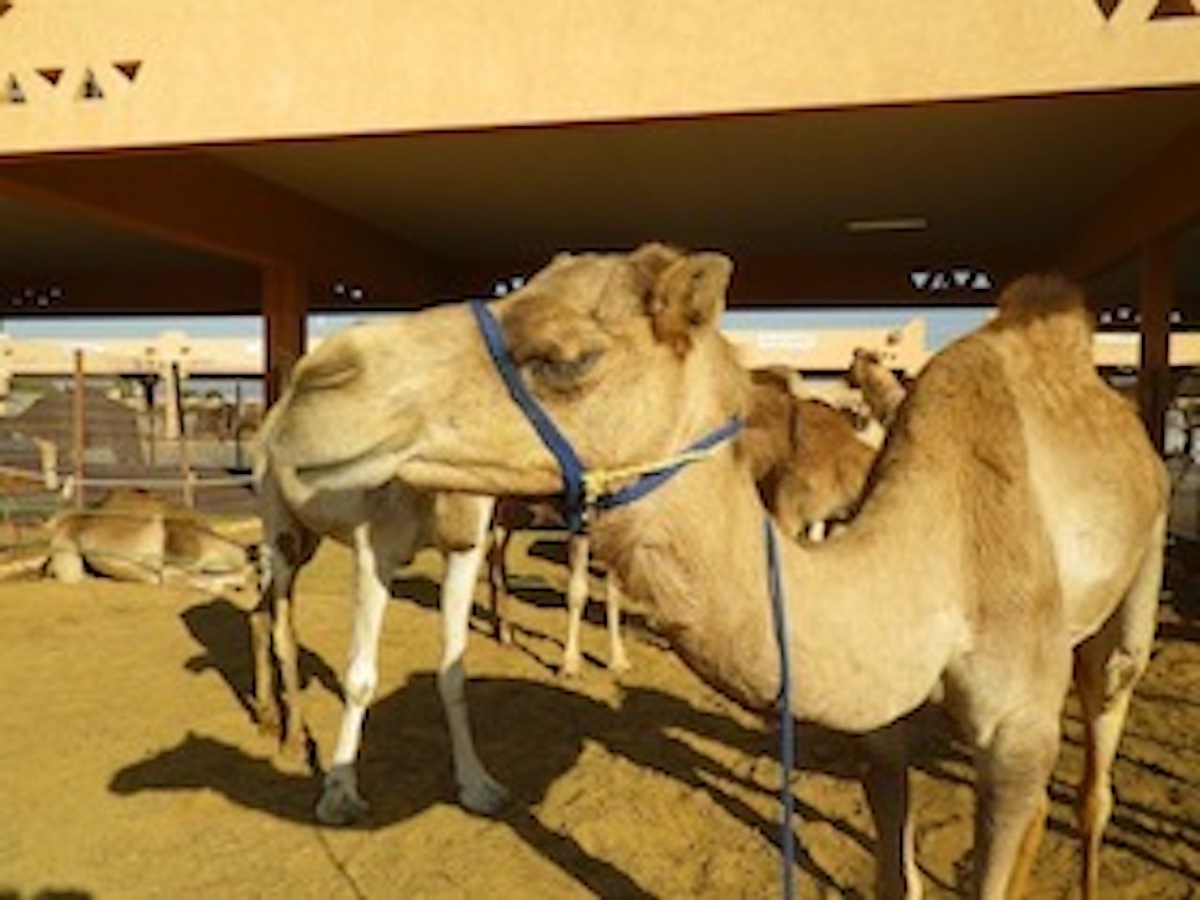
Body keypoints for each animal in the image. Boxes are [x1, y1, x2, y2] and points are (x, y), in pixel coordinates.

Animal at [251, 455, 508, 824]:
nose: (464, 527)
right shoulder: (375, 550)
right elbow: (360, 680)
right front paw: (339, 796)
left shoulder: (464, 550)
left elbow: (454, 673)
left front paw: (478, 786)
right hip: (279, 520)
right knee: (283, 628)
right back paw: (293, 742)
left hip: (309, 536)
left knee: (260, 612)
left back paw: (267, 717)